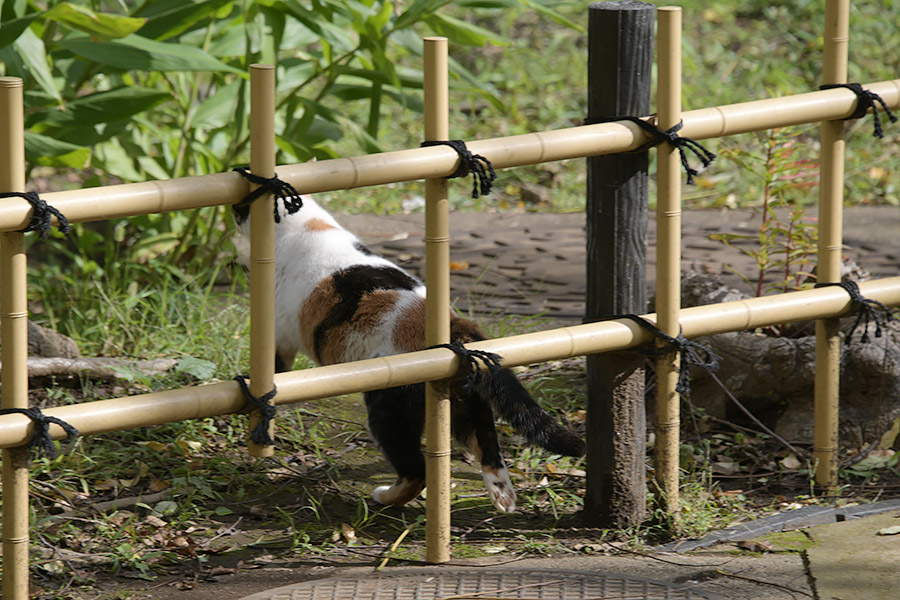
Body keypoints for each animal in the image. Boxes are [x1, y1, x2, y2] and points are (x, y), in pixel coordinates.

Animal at [232, 196, 584, 510]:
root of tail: (455, 326)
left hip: (390, 407)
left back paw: (385, 498)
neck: (308, 226)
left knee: (417, 470)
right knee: (487, 445)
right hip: (465, 400)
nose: (233, 209)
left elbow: (274, 369)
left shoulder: (279, 335)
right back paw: (503, 498)